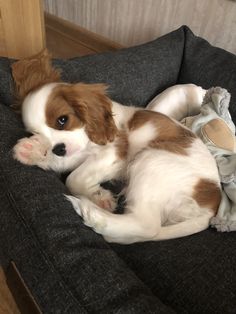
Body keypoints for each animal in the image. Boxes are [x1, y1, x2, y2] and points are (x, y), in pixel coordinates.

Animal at [11, 50, 221, 244]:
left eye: (62, 120)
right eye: (36, 132)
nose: (58, 149)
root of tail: (213, 202)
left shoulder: (114, 152)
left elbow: (73, 178)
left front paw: (97, 198)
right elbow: (68, 165)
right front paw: (34, 150)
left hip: (151, 160)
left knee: (146, 225)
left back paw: (94, 215)